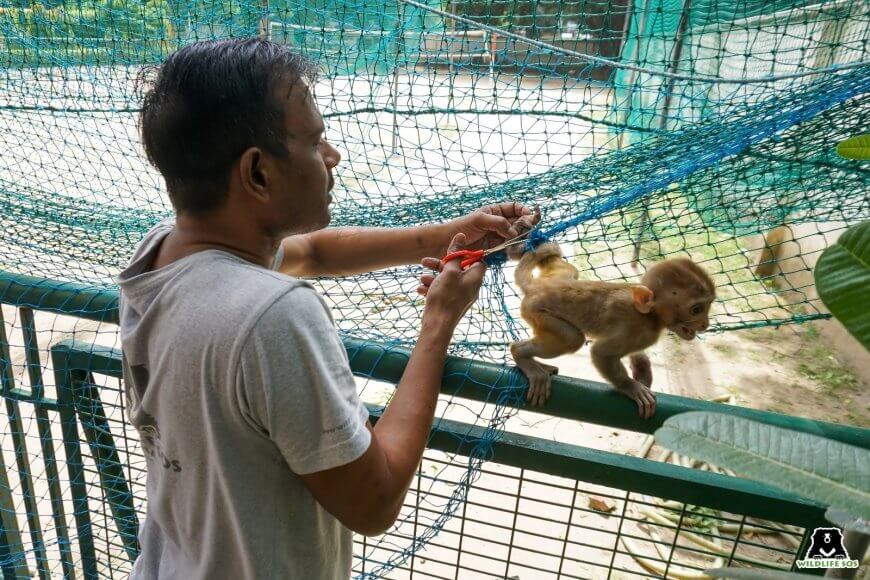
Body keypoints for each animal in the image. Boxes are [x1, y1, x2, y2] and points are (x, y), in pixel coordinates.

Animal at [510, 213, 716, 416]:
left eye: (708, 306)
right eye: (696, 310)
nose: (705, 323)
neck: (651, 315)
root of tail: (537, 288)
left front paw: (641, 368)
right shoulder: (640, 330)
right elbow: (601, 353)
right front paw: (631, 386)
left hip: (559, 276)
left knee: (564, 265)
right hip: (536, 311)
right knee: (572, 338)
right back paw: (520, 354)